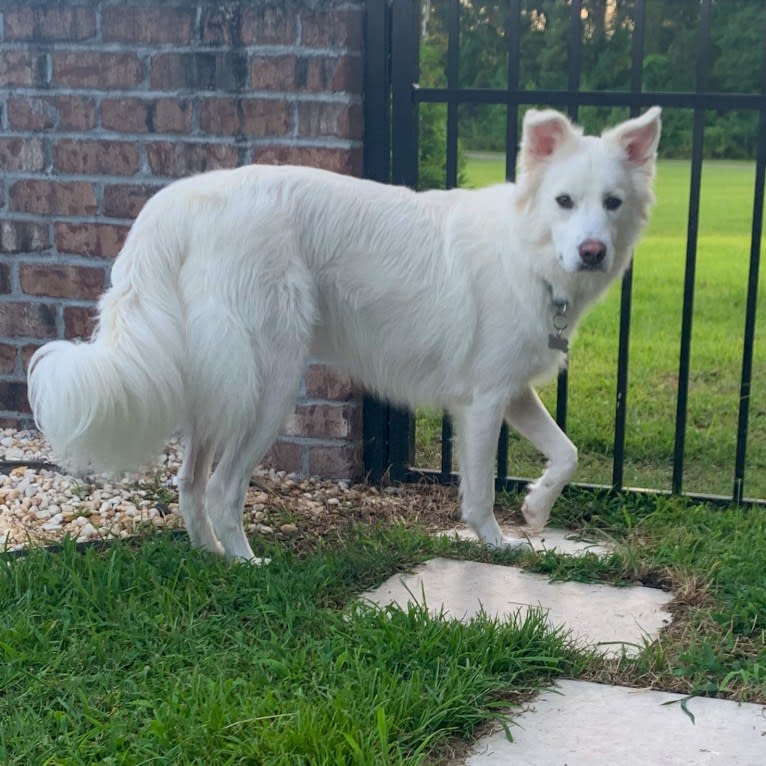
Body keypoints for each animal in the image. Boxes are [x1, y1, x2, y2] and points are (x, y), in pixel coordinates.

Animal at [27, 108, 664, 560]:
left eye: (613, 203)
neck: (528, 252)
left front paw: (534, 510)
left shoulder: (513, 393)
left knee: (189, 483)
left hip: (224, 387)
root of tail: (181, 203)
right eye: (564, 201)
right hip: (271, 385)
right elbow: (481, 490)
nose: (593, 252)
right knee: (223, 488)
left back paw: (210, 556)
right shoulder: (483, 404)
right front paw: (498, 546)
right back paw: (247, 565)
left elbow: (568, 453)